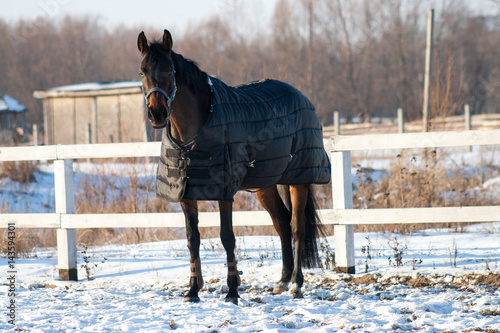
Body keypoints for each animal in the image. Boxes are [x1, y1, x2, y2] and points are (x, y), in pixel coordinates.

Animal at [138, 30, 332, 304]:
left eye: (169, 71)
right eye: (142, 71)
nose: (157, 114)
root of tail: (301, 95)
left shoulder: (224, 191)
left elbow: (227, 237)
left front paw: (232, 290)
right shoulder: (185, 193)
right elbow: (192, 239)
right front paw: (193, 290)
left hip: (299, 179)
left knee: (296, 226)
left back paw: (296, 284)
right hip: (266, 185)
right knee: (282, 223)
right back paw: (282, 281)